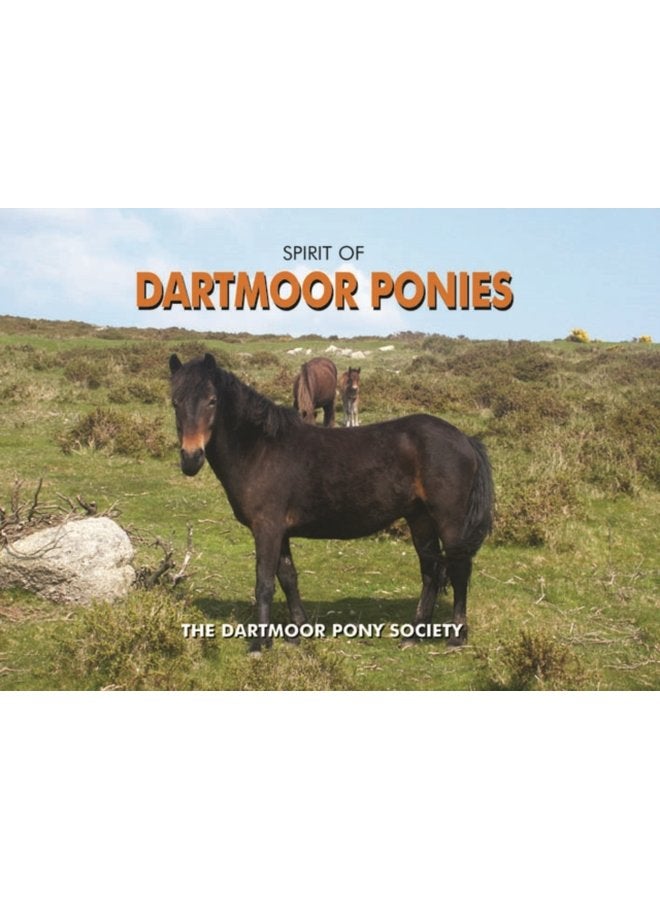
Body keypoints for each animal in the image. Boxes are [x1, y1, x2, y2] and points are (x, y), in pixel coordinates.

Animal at [169, 353, 494, 655]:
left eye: (212, 401)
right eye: (175, 402)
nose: (191, 458)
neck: (260, 449)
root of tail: (465, 439)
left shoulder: (267, 529)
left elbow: (264, 584)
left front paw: (259, 644)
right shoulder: (280, 532)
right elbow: (288, 578)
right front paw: (297, 633)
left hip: (449, 521)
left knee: (458, 570)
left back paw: (456, 637)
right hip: (420, 519)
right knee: (431, 572)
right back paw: (414, 634)